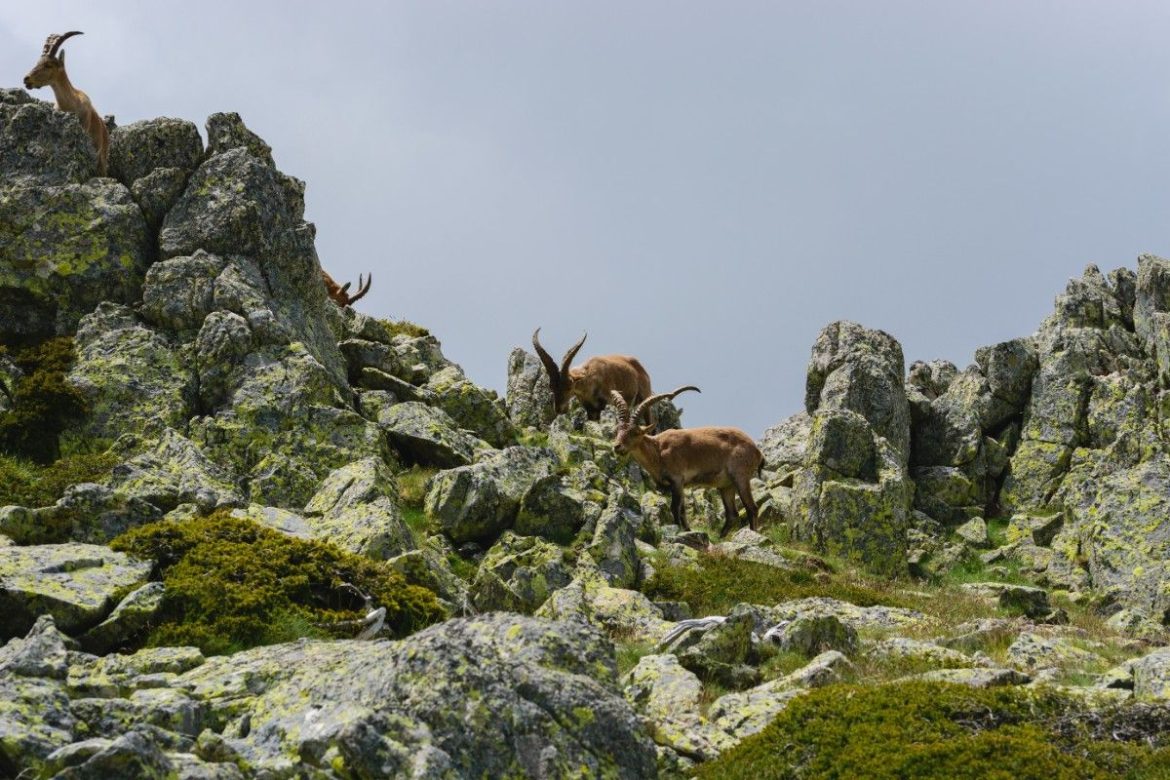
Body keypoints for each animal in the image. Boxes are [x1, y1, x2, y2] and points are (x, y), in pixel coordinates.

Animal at [611, 387, 762, 534]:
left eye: (635, 432)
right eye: (617, 430)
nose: (617, 446)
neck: (658, 450)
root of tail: (756, 450)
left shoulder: (677, 480)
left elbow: (675, 508)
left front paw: (678, 530)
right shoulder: (681, 485)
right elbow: (683, 511)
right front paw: (687, 530)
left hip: (740, 477)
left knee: (752, 508)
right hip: (726, 485)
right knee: (732, 514)